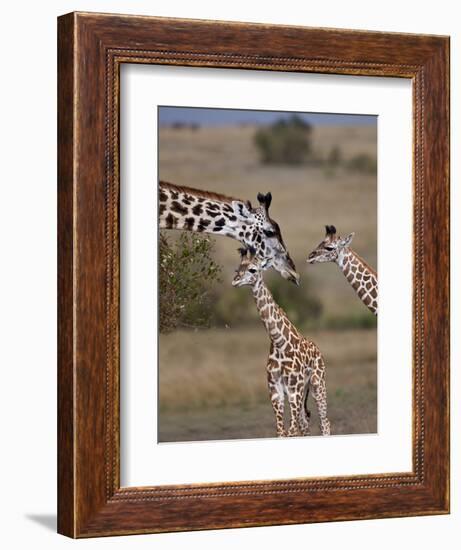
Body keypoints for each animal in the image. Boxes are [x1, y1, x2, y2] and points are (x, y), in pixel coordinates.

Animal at [232, 248, 328, 438]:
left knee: (324, 423)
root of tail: (318, 350)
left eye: (253, 270)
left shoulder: (294, 390)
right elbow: (281, 432)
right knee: (305, 424)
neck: (279, 342)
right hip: (304, 392)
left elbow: (291, 431)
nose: (235, 281)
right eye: (238, 268)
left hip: (317, 385)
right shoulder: (275, 391)